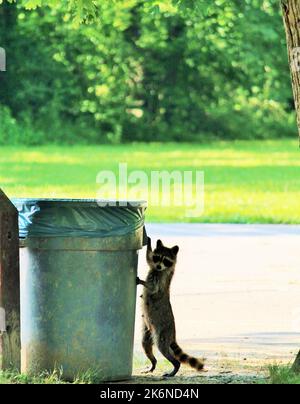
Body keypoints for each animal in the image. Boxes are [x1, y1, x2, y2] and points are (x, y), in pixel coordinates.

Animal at [138, 238, 204, 378]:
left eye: (166, 260)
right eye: (158, 257)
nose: (158, 266)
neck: (160, 270)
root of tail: (173, 334)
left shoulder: (161, 279)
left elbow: (152, 288)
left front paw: (142, 282)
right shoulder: (154, 267)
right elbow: (149, 259)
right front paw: (150, 243)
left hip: (162, 332)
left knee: (163, 348)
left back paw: (175, 366)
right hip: (148, 330)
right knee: (145, 344)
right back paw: (153, 362)